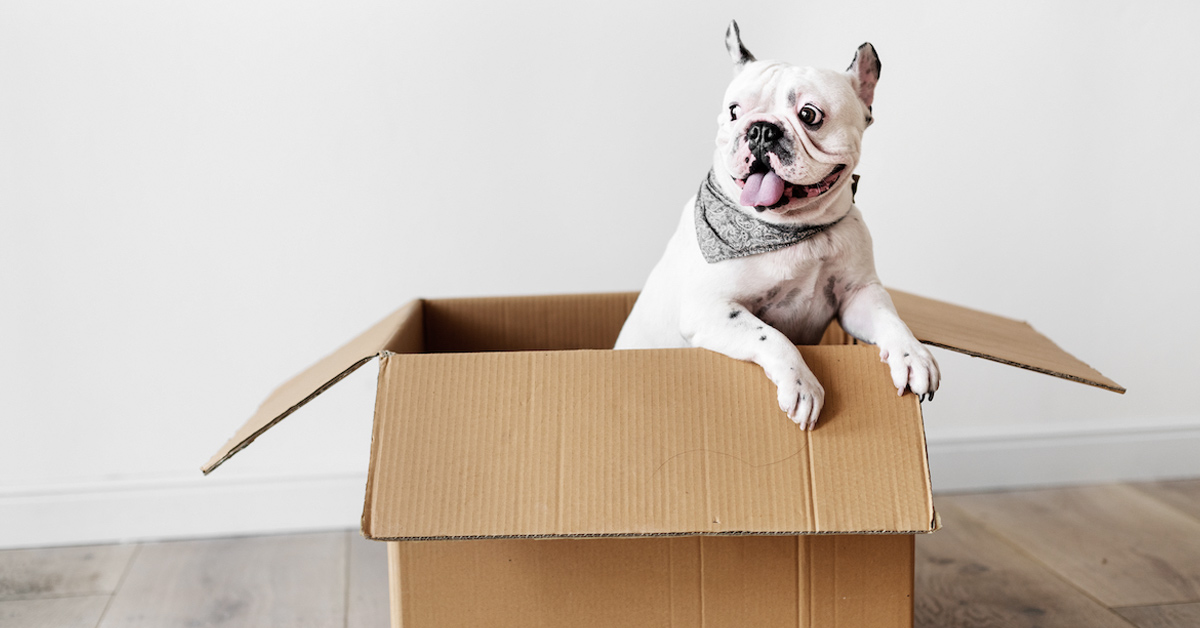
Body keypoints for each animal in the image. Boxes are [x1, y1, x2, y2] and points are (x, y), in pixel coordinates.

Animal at [619, 22, 936, 429]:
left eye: (810, 115)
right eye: (734, 111)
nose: (760, 130)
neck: (796, 229)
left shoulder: (858, 295)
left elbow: (889, 317)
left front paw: (913, 354)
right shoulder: (711, 309)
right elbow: (769, 335)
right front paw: (802, 383)